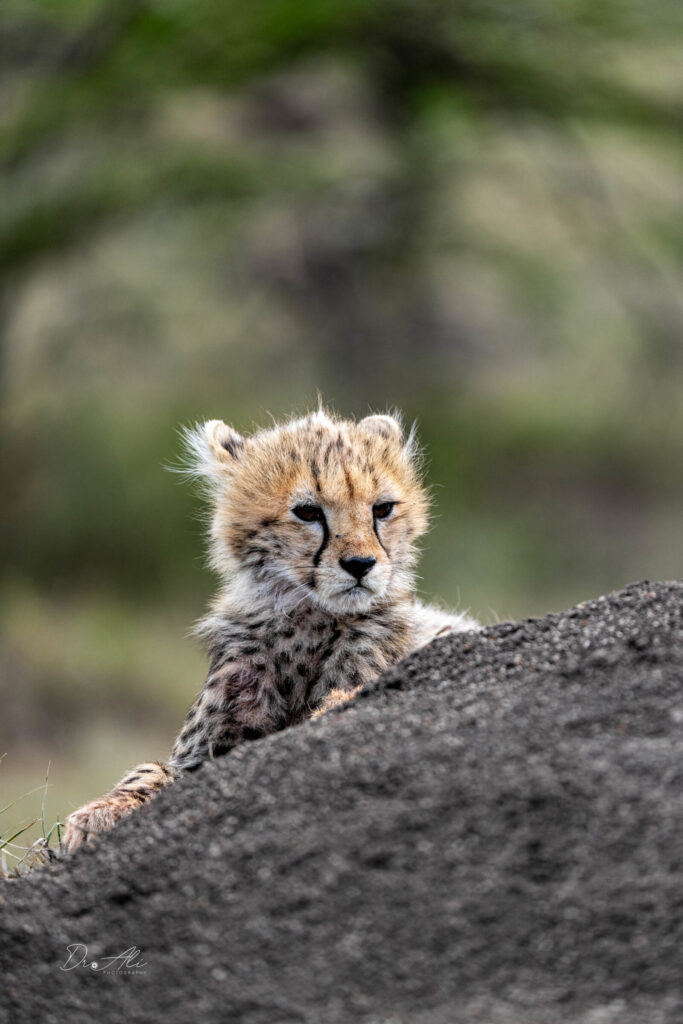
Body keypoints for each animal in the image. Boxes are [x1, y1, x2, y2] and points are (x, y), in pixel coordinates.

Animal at [62, 408, 479, 852]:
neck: (310, 620)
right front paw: (97, 813)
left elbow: (343, 698)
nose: (361, 564)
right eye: (308, 512)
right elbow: (151, 769)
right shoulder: (203, 751)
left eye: (382, 509)